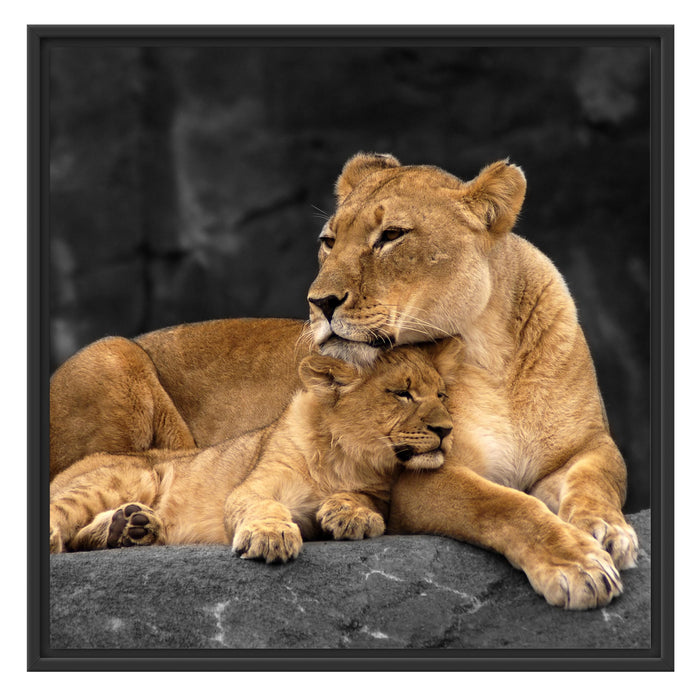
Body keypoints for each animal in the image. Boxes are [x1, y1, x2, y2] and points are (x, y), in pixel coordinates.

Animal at [49, 342, 459, 564]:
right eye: (402, 394)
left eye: (441, 395)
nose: (446, 430)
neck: (346, 459)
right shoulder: (254, 486)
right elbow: (264, 506)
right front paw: (271, 537)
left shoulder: (379, 491)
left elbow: (368, 501)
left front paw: (351, 514)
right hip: (131, 475)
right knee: (63, 516)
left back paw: (132, 527)